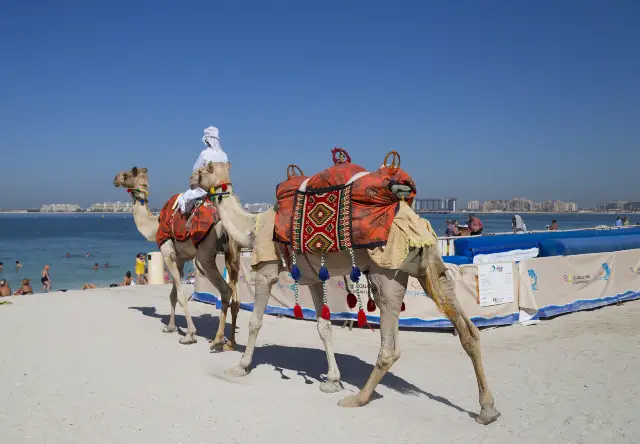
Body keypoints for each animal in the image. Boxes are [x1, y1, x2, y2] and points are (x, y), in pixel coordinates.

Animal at [113, 167, 241, 350]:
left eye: (127, 174)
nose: (115, 178)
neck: (154, 224)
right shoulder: (179, 259)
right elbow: (172, 295)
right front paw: (170, 327)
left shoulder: (167, 254)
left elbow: (180, 296)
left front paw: (189, 335)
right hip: (233, 253)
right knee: (236, 298)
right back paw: (230, 342)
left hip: (205, 255)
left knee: (225, 290)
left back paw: (217, 340)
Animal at [194, 160, 500, 424]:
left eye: (205, 168)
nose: (191, 178)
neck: (252, 227)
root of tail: (415, 221)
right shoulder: (313, 277)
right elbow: (324, 326)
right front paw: (332, 380)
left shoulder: (266, 270)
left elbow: (256, 322)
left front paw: (240, 366)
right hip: (430, 266)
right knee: (468, 330)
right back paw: (488, 409)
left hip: (387, 272)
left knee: (390, 347)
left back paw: (359, 398)